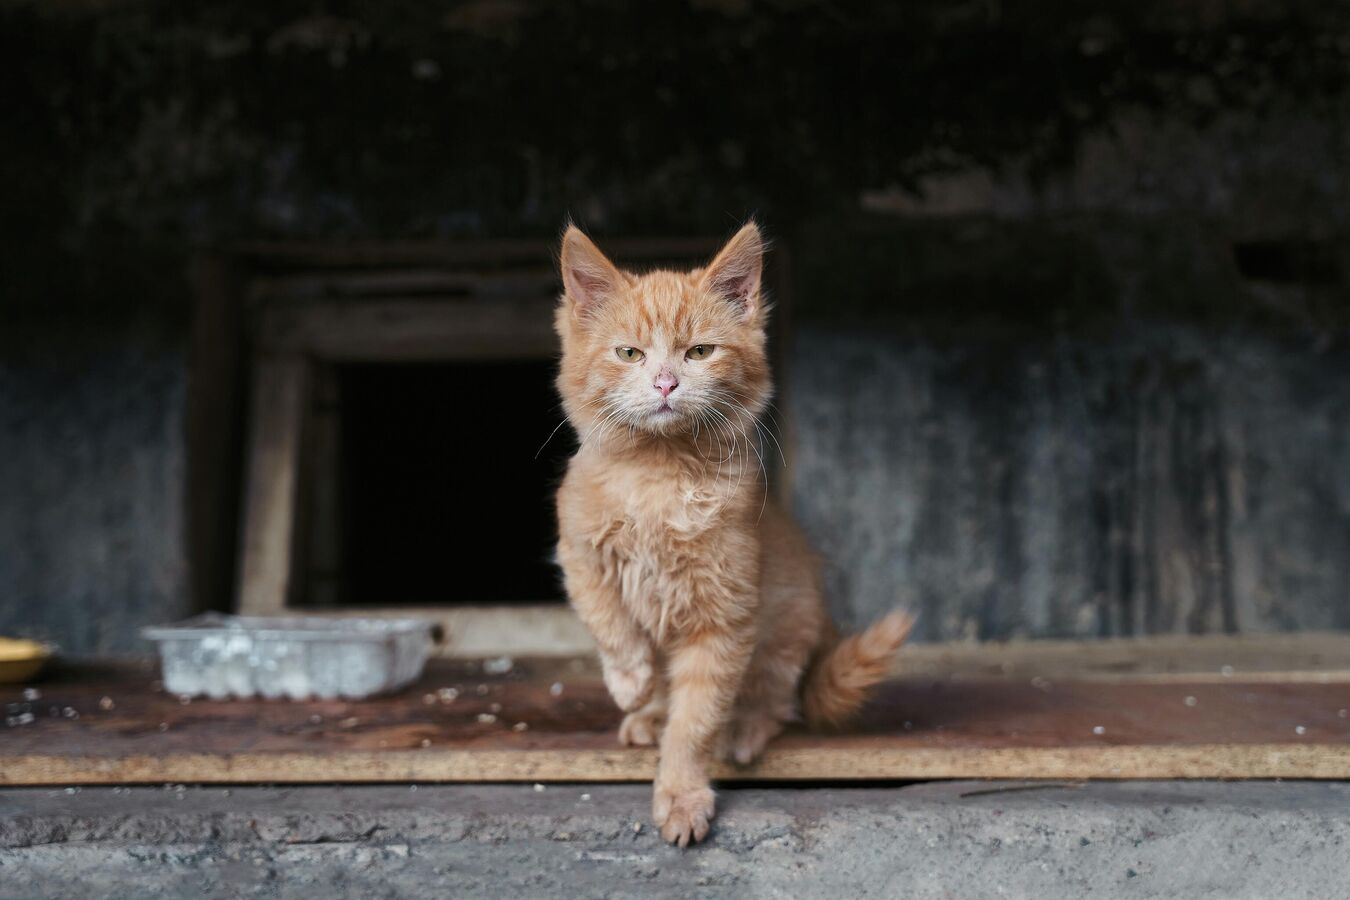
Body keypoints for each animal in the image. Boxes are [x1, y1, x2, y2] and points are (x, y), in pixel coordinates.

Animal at [553, 223, 912, 847]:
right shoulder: (578, 552)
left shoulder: (725, 616)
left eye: (699, 352)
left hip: (786, 632)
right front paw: (630, 683)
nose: (666, 382)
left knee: (777, 703)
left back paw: (741, 730)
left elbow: (695, 720)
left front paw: (681, 792)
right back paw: (648, 714)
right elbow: (610, 624)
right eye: (629, 353)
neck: (659, 474)